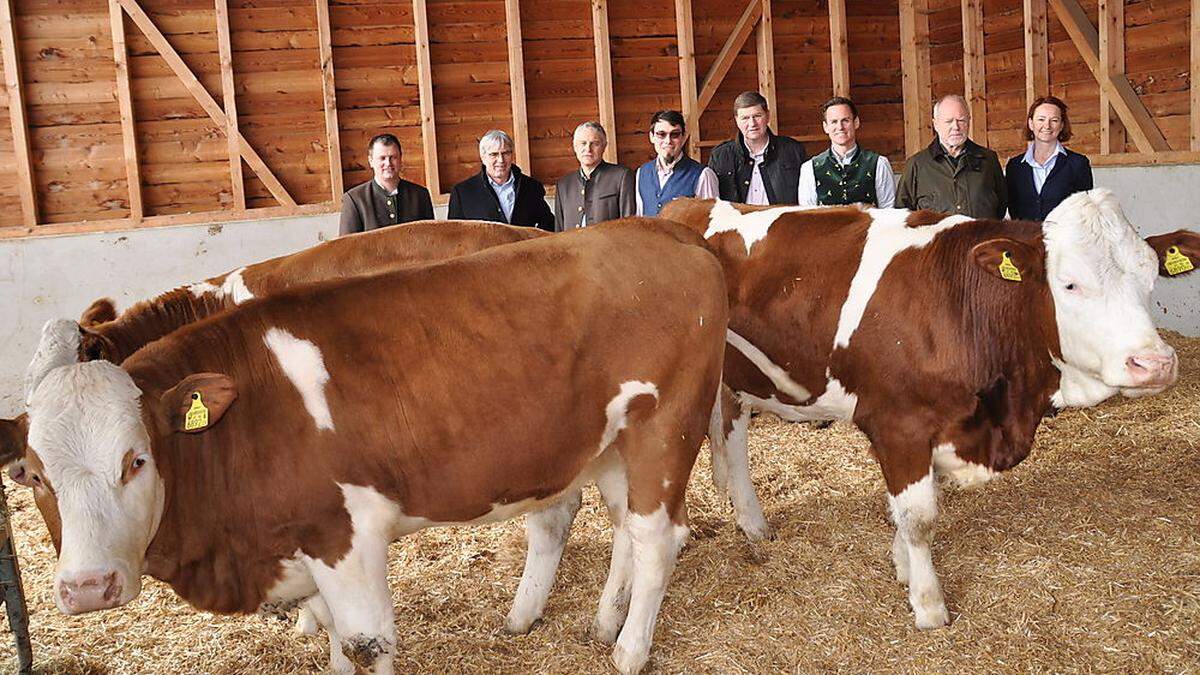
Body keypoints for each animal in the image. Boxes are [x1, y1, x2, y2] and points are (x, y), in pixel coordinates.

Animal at [21, 219, 729, 672]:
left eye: (135, 459)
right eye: (33, 475)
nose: (88, 587)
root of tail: (664, 233)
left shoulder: (347, 533)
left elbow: (364, 643)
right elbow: (336, 643)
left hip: (664, 429)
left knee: (657, 536)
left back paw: (628, 651)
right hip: (603, 443)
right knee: (620, 525)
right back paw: (595, 622)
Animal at [662, 190, 1195, 629]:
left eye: (1151, 276)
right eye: (1069, 285)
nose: (1154, 363)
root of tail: (685, 205)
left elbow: (908, 508)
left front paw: (902, 565)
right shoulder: (900, 425)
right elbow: (919, 516)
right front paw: (928, 604)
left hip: (733, 380)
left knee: (730, 433)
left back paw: (751, 523)